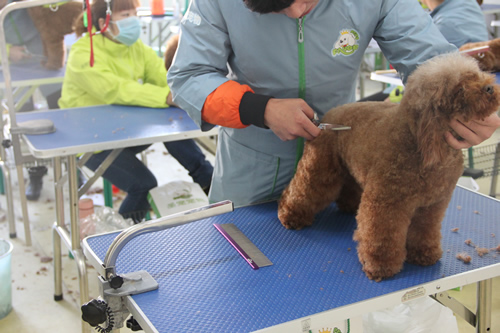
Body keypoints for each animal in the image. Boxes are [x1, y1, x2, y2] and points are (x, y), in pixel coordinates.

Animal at [278, 53, 500, 280]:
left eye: (476, 74)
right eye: (458, 89)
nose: (489, 88)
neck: (419, 141)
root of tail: (327, 117)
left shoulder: (433, 205)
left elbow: (424, 230)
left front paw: (424, 253)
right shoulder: (387, 203)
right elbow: (382, 236)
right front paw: (380, 265)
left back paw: (349, 206)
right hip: (319, 166)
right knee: (302, 189)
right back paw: (290, 214)